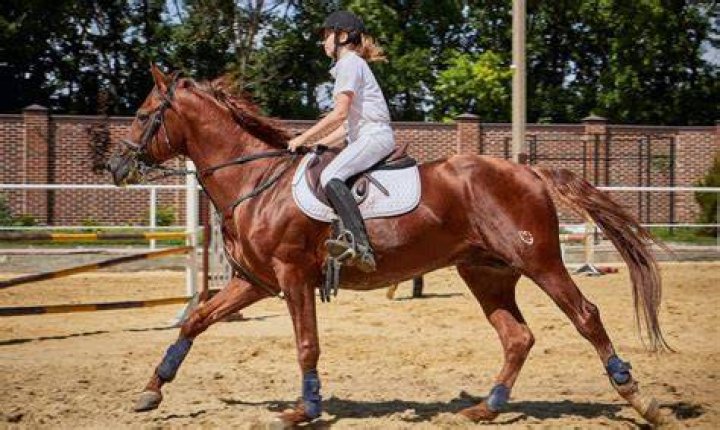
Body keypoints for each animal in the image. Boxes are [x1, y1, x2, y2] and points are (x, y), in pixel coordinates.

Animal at [107, 65, 672, 426]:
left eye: (142, 114)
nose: (115, 166)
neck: (255, 181)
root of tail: (527, 170)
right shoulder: (256, 283)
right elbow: (196, 320)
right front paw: (152, 389)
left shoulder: (292, 277)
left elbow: (306, 343)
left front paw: (304, 410)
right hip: (486, 272)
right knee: (517, 337)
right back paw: (487, 406)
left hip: (539, 260)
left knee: (586, 316)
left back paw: (639, 398)